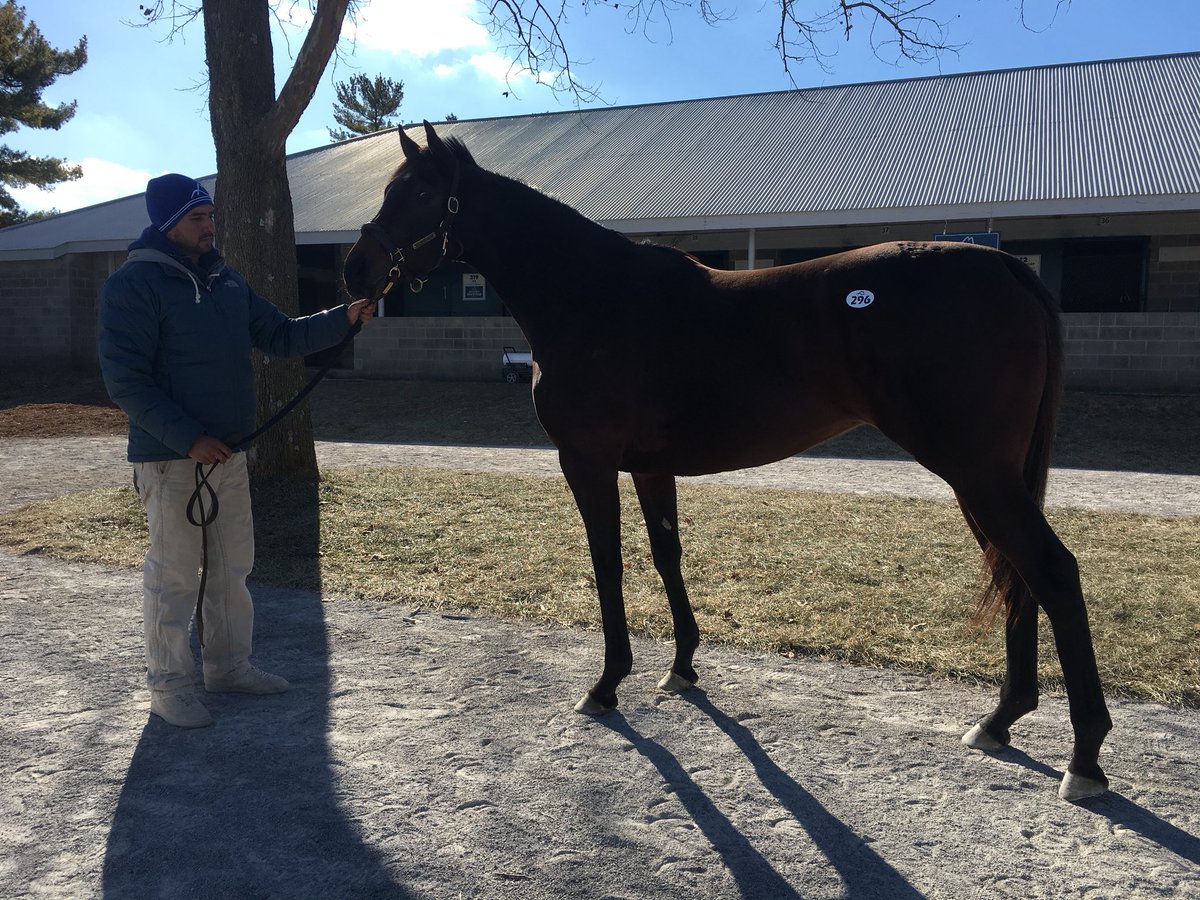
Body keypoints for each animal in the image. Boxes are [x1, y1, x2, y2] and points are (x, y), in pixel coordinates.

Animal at [343, 122, 1112, 802]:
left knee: (1051, 571)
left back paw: (1085, 761)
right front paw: (682, 667)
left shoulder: (587, 462)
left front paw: (606, 684)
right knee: (1019, 574)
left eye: (418, 193)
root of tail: (1005, 266)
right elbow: (665, 555)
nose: (355, 271)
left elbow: (607, 563)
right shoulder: (649, 467)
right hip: (985, 479)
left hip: (977, 473)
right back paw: (1001, 720)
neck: (593, 295)